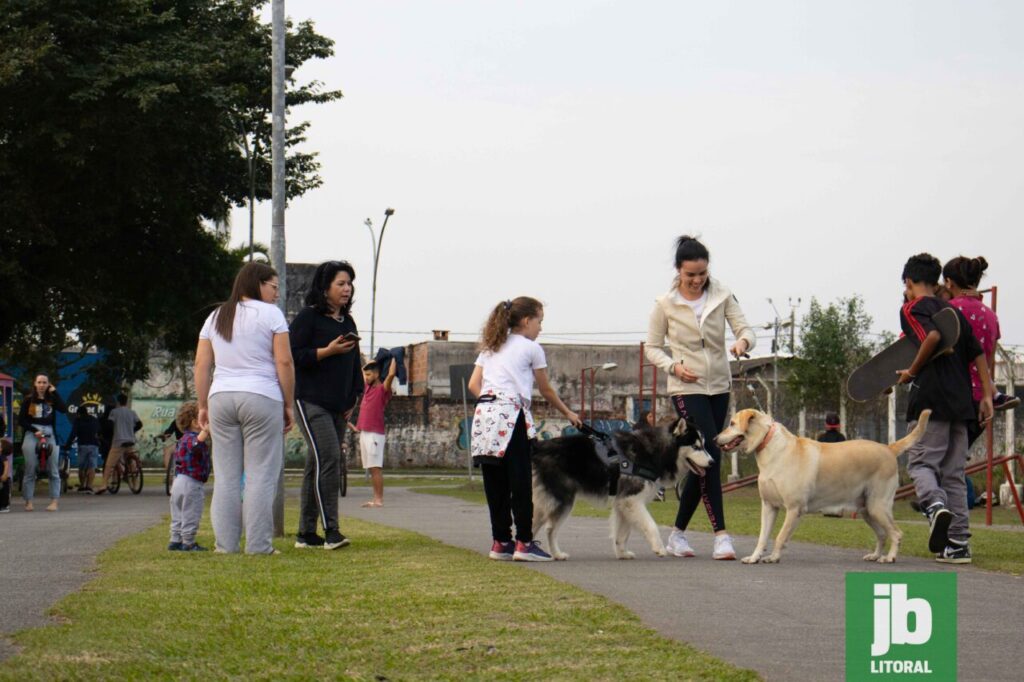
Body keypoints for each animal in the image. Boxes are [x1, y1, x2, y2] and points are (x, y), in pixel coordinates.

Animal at [716, 409, 933, 561]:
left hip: (878, 506)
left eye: (732, 423)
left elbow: (780, 536)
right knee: (882, 534)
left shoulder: (794, 509)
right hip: (867, 509)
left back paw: (890, 557)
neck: (769, 447)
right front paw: (754, 557)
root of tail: (888, 448)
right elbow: (762, 537)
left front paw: (774, 557)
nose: (715, 439)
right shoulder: (769, 507)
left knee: (896, 533)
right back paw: (875, 555)